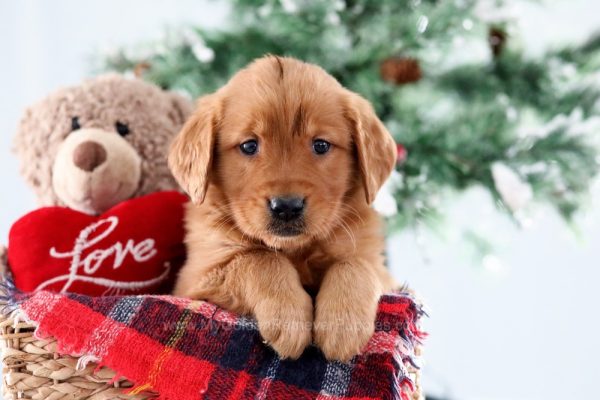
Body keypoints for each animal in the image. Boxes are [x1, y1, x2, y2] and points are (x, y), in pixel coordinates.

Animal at [169, 55, 398, 360]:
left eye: (321, 145)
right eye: (249, 145)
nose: (287, 207)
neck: (296, 250)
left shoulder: (382, 270)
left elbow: (355, 263)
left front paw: (342, 325)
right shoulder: (197, 277)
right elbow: (259, 259)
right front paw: (288, 317)